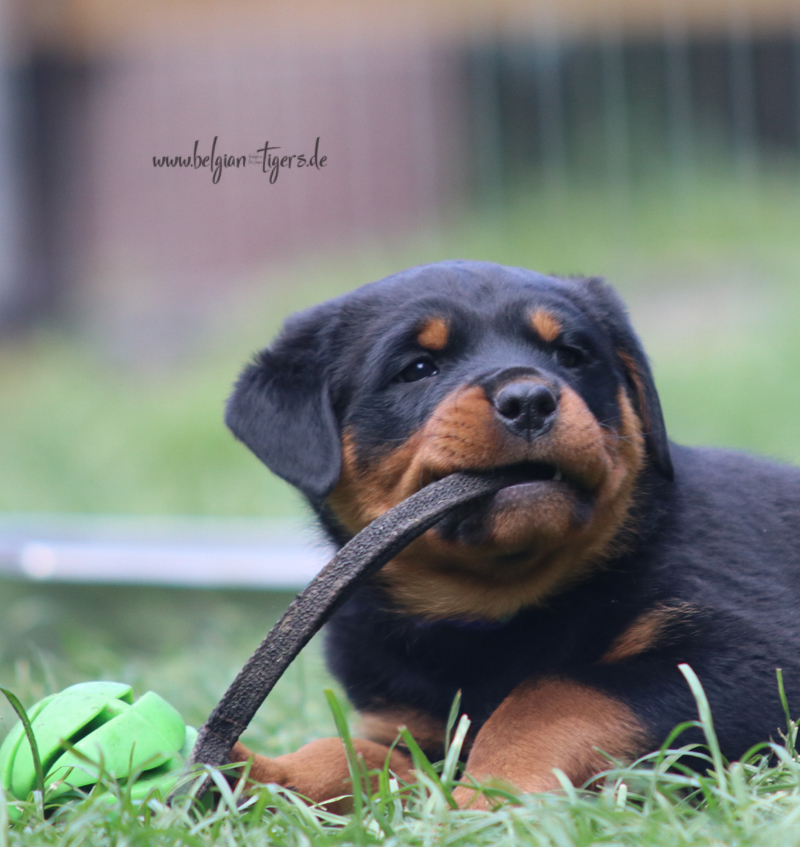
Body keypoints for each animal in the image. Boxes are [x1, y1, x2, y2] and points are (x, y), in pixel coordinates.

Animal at [224, 260, 800, 808]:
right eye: (417, 368)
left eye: (570, 355)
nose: (529, 399)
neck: (491, 613)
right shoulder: (410, 727)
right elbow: (351, 755)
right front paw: (254, 778)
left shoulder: (753, 656)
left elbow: (553, 694)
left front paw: (487, 795)